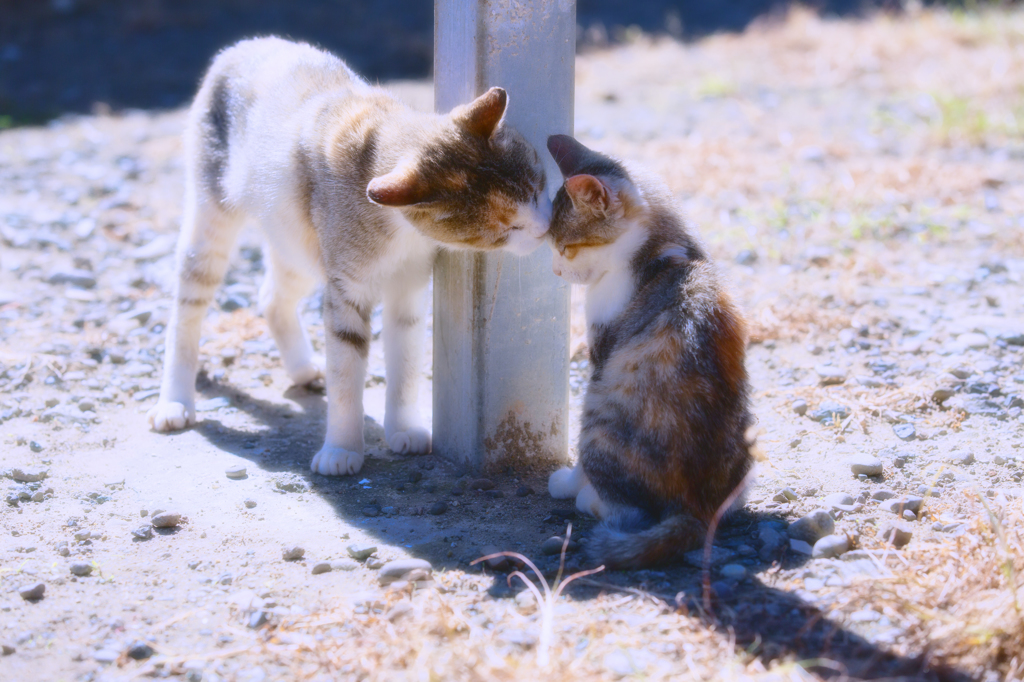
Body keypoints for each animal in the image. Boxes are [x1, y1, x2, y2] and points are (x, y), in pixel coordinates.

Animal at [147, 35, 548, 473]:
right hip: (211, 225)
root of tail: (245, 43)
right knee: (187, 309)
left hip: (299, 246)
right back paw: (174, 401)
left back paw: (302, 368)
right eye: (507, 228)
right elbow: (345, 375)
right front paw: (341, 450)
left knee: (271, 297)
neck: (400, 234)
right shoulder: (346, 291)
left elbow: (406, 366)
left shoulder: (407, 292)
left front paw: (404, 427)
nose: (545, 227)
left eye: (539, 188)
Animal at [544, 134, 753, 569]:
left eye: (568, 248)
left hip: (603, 414)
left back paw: (588, 497)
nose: (556, 271)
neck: (662, 251)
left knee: (628, 510)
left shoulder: (602, 353)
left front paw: (569, 481)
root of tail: (696, 510)